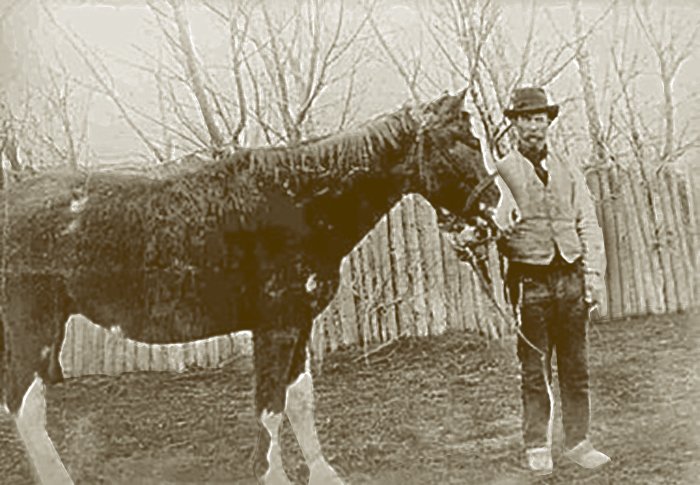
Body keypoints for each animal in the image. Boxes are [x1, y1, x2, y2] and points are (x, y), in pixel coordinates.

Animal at [0, 89, 501, 484]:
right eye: (462, 142)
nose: (495, 206)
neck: (298, 203)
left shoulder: (299, 326)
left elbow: (299, 401)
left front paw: (323, 473)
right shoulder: (275, 327)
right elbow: (270, 407)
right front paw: (272, 475)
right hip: (33, 328)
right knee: (27, 408)